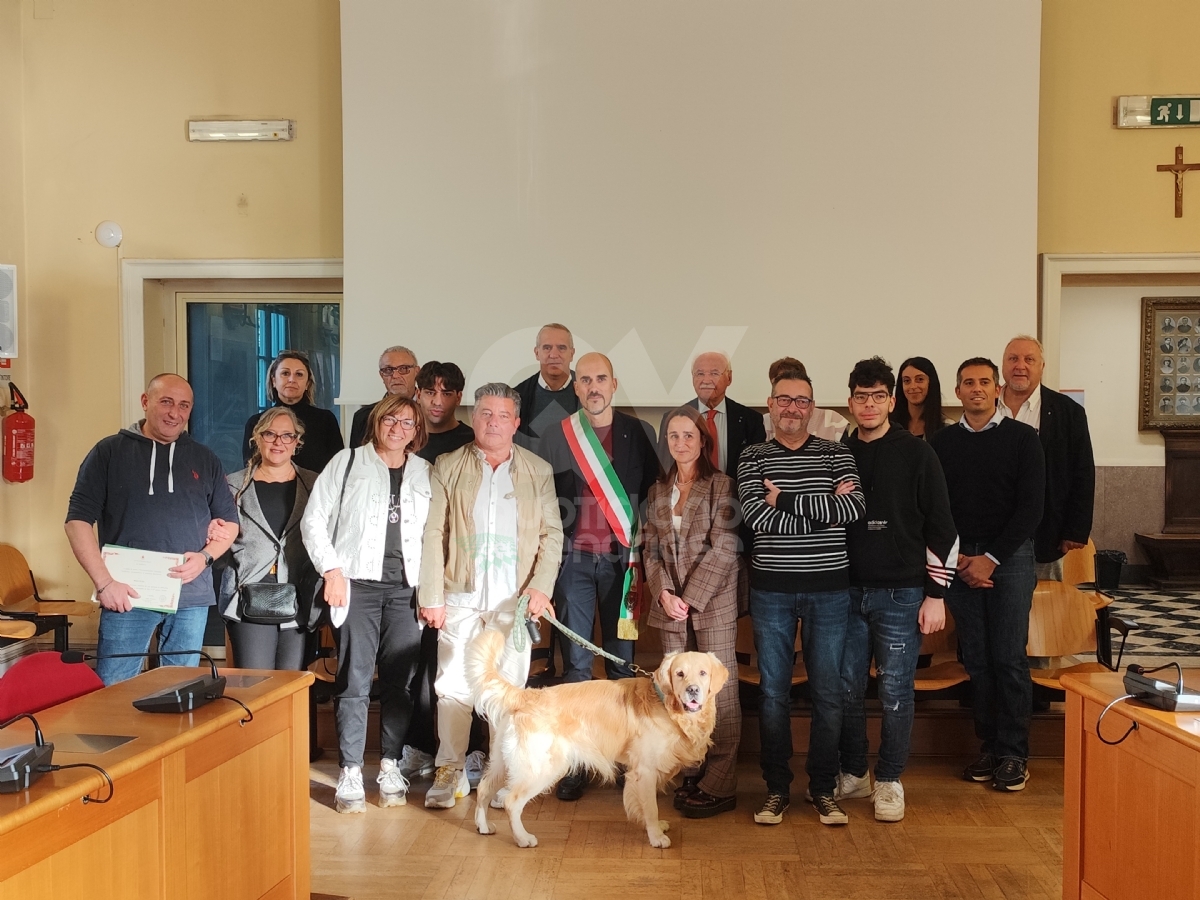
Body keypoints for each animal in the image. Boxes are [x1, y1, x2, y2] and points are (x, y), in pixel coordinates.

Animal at [465, 628, 729, 849]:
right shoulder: (645, 769)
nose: (693, 690)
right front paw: (656, 837)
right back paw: (523, 838)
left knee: (485, 789)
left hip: (503, 761)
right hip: (543, 767)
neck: (666, 705)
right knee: (511, 801)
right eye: (679, 674)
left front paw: (652, 827)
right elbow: (651, 806)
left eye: (703, 673)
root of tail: (525, 695)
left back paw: (483, 826)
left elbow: (646, 803)